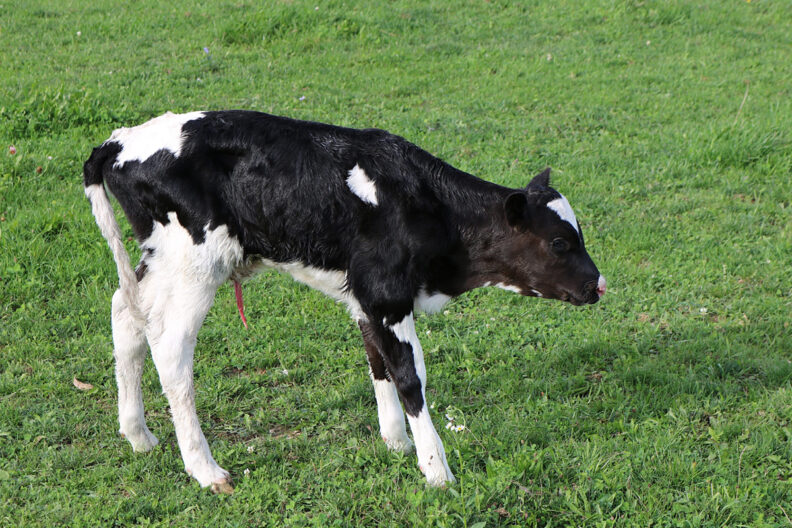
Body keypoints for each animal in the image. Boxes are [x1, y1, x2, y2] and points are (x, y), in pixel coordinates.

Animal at [83, 110, 606, 493]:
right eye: (560, 242)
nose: (598, 285)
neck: (423, 203)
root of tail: (122, 140)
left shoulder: (366, 298)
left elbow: (378, 362)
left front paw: (396, 443)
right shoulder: (388, 295)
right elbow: (409, 376)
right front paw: (436, 471)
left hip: (161, 259)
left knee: (125, 313)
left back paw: (138, 435)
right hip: (195, 262)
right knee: (170, 348)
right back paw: (206, 470)